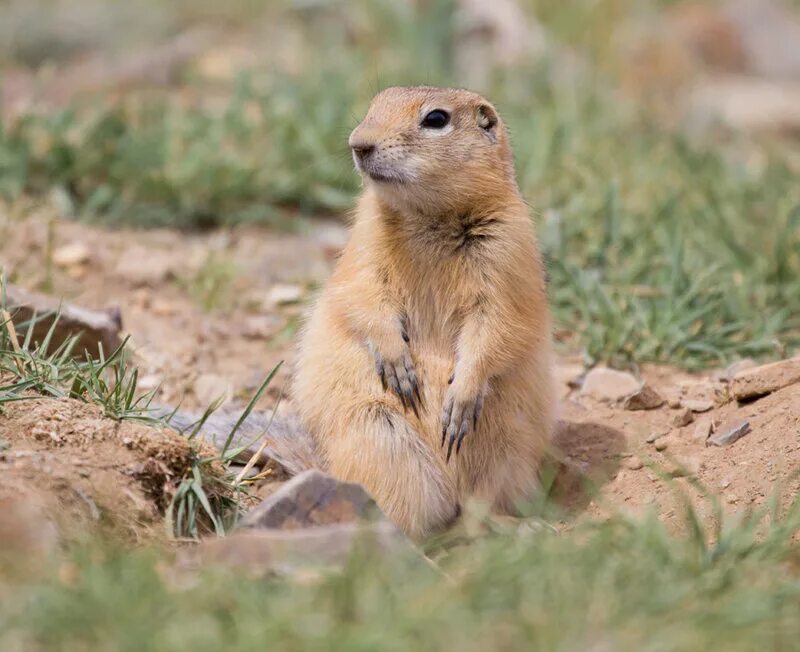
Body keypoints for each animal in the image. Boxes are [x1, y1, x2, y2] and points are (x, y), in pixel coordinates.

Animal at [294, 84, 556, 536]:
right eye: (374, 105)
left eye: (436, 119)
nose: (358, 143)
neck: (431, 215)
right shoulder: (364, 249)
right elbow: (364, 297)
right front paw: (399, 367)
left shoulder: (507, 257)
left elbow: (497, 326)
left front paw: (460, 397)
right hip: (380, 438)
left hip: (509, 452)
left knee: (478, 510)